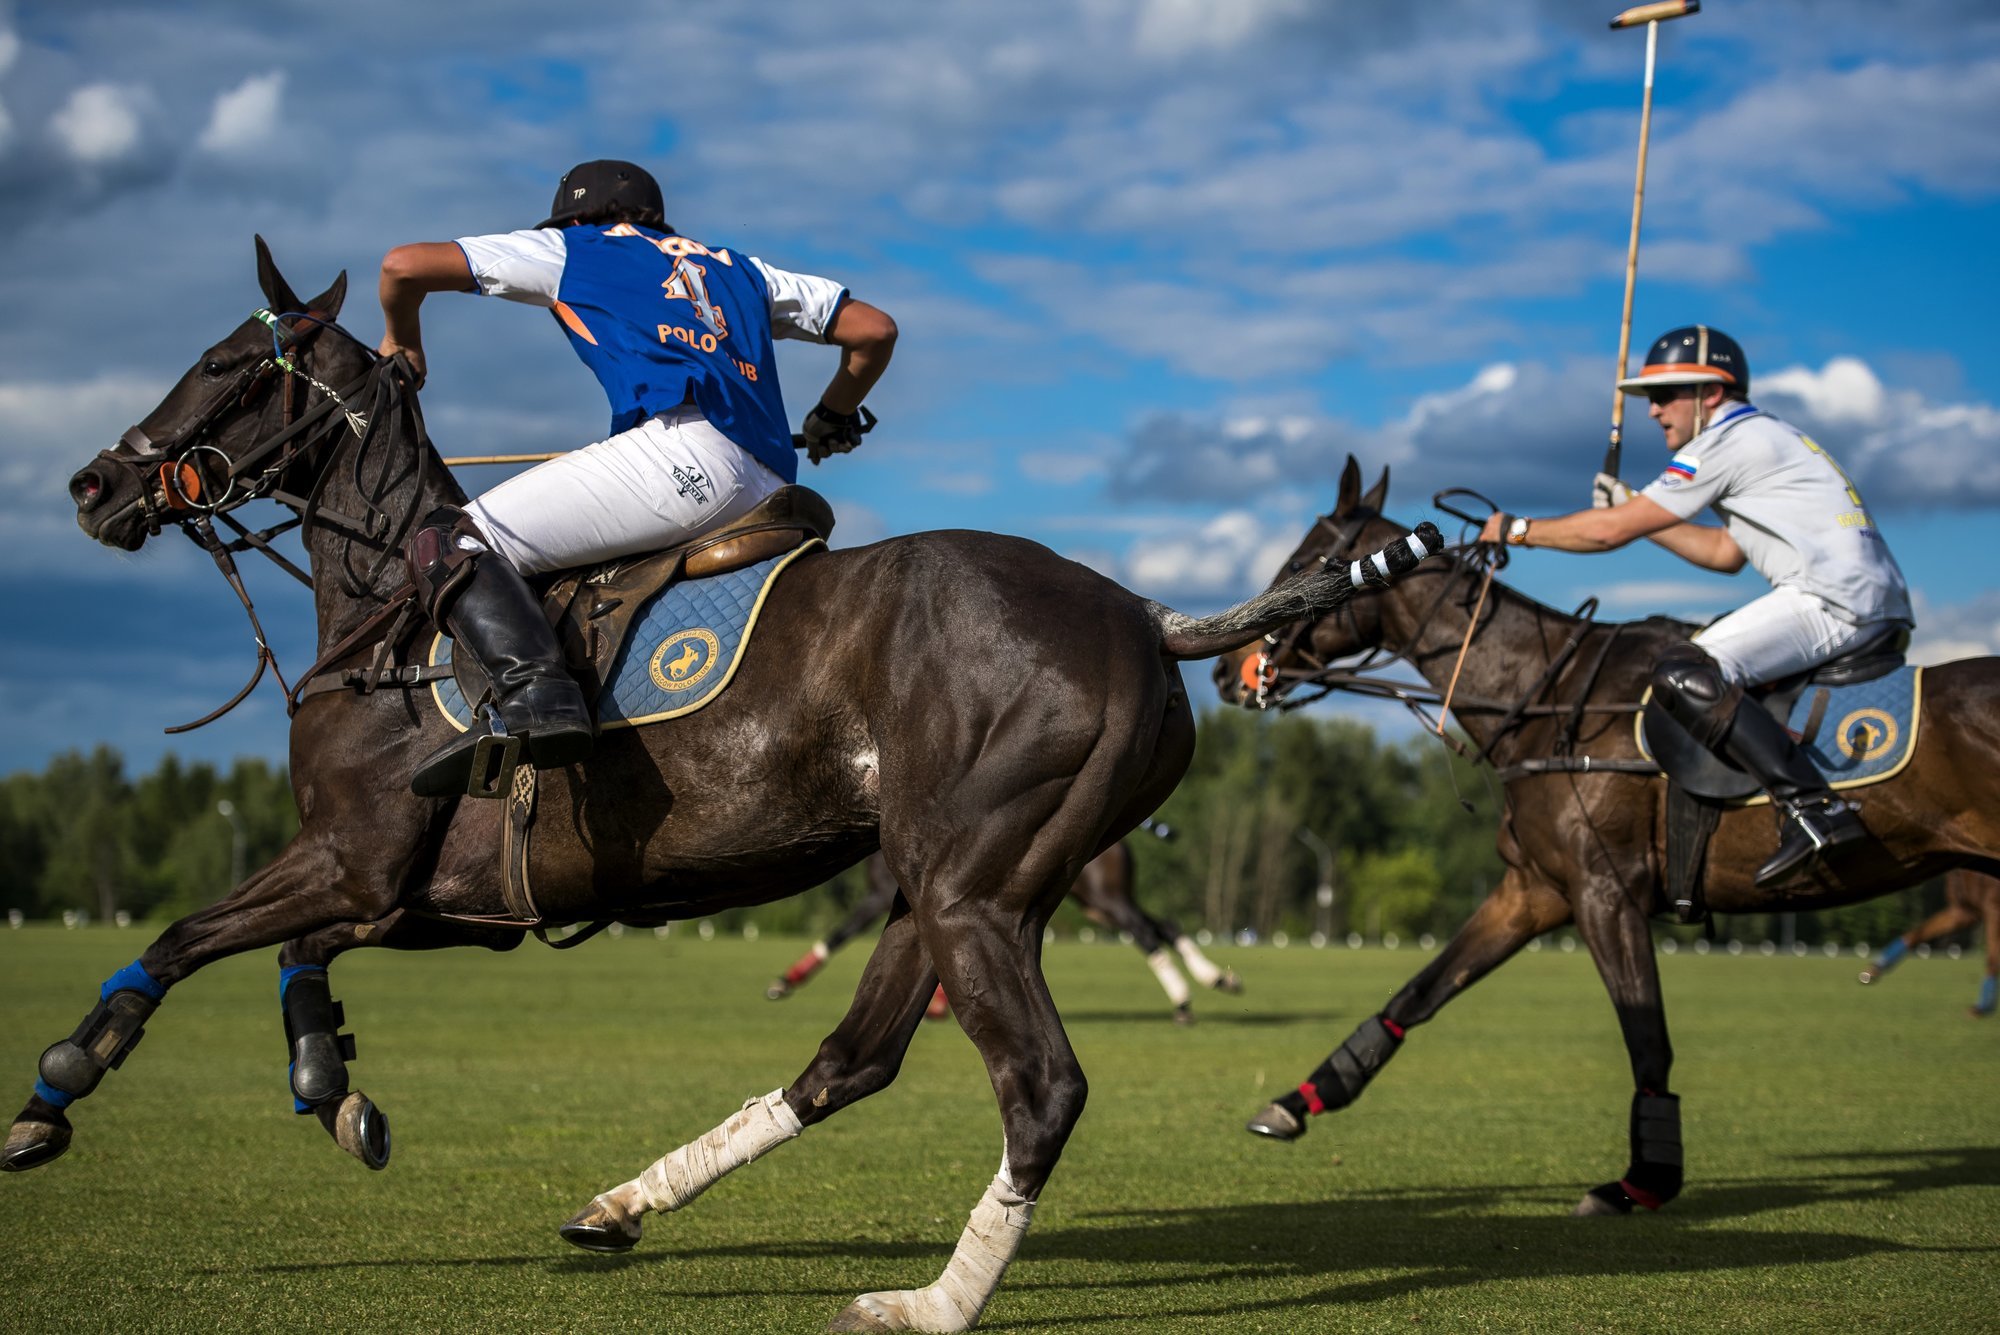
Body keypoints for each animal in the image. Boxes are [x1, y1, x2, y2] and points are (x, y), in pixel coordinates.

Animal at [772, 823, 1240, 1023]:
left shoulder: (886, 896)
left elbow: (840, 932)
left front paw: (784, 982)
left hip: (1104, 898)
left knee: (1146, 933)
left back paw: (1184, 1001)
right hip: (1098, 902)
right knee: (1165, 925)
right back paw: (1218, 979)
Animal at [1208, 455, 1992, 1223]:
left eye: (1302, 564)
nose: (1224, 673)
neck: (1543, 699)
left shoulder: (1604, 891)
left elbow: (1647, 1038)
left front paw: (1643, 1178)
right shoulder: (1534, 890)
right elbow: (1418, 992)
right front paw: (1298, 1100)